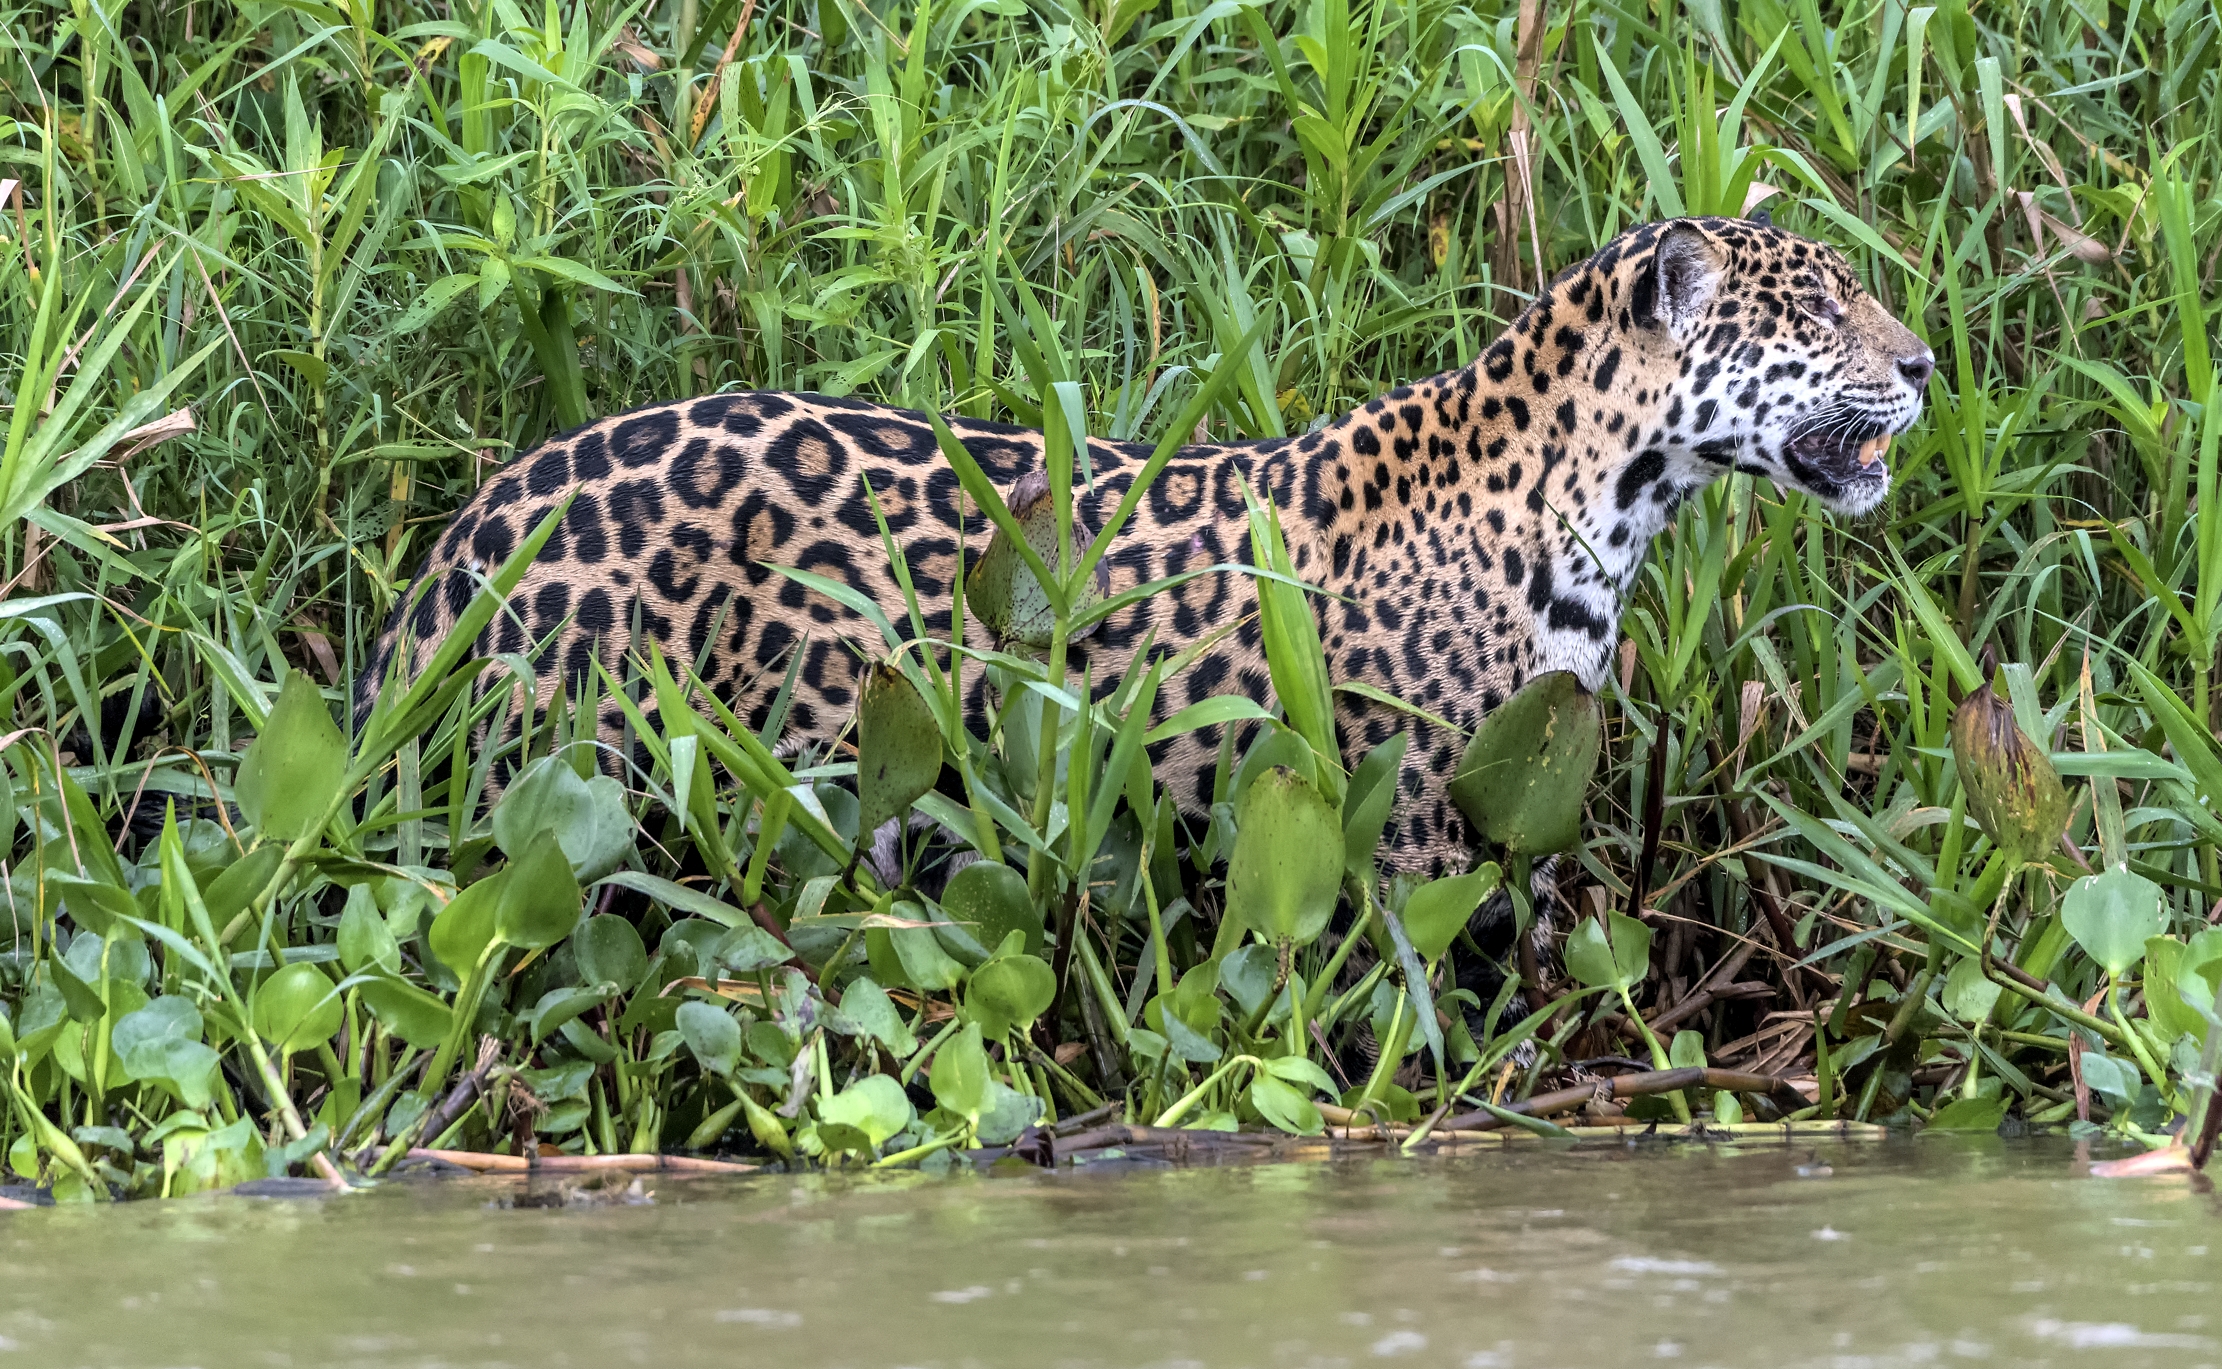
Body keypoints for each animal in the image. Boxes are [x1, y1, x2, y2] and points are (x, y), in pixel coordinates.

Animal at [365, 213, 1933, 878]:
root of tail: (474, 530)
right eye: (1819, 312)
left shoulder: (1518, 776)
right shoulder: (1417, 814)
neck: (1609, 495)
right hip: (586, 772)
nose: (1922, 365)